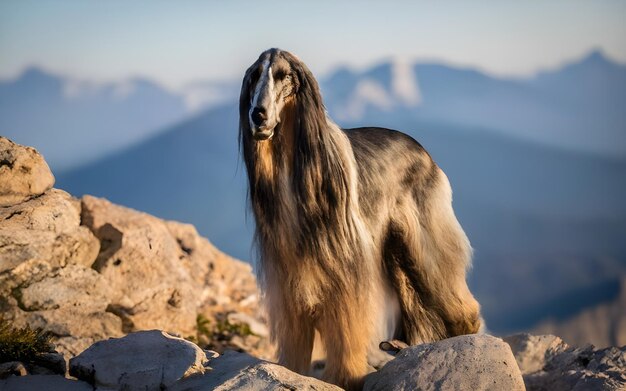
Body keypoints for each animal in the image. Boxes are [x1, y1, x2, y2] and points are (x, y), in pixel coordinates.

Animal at [238, 49, 478, 391]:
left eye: (285, 75)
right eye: (255, 75)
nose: (258, 115)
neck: (294, 168)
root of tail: (424, 152)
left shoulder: (345, 264)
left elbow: (345, 325)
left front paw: (345, 377)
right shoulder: (287, 270)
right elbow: (296, 331)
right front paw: (292, 371)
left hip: (424, 239)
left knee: (455, 294)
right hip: (395, 249)